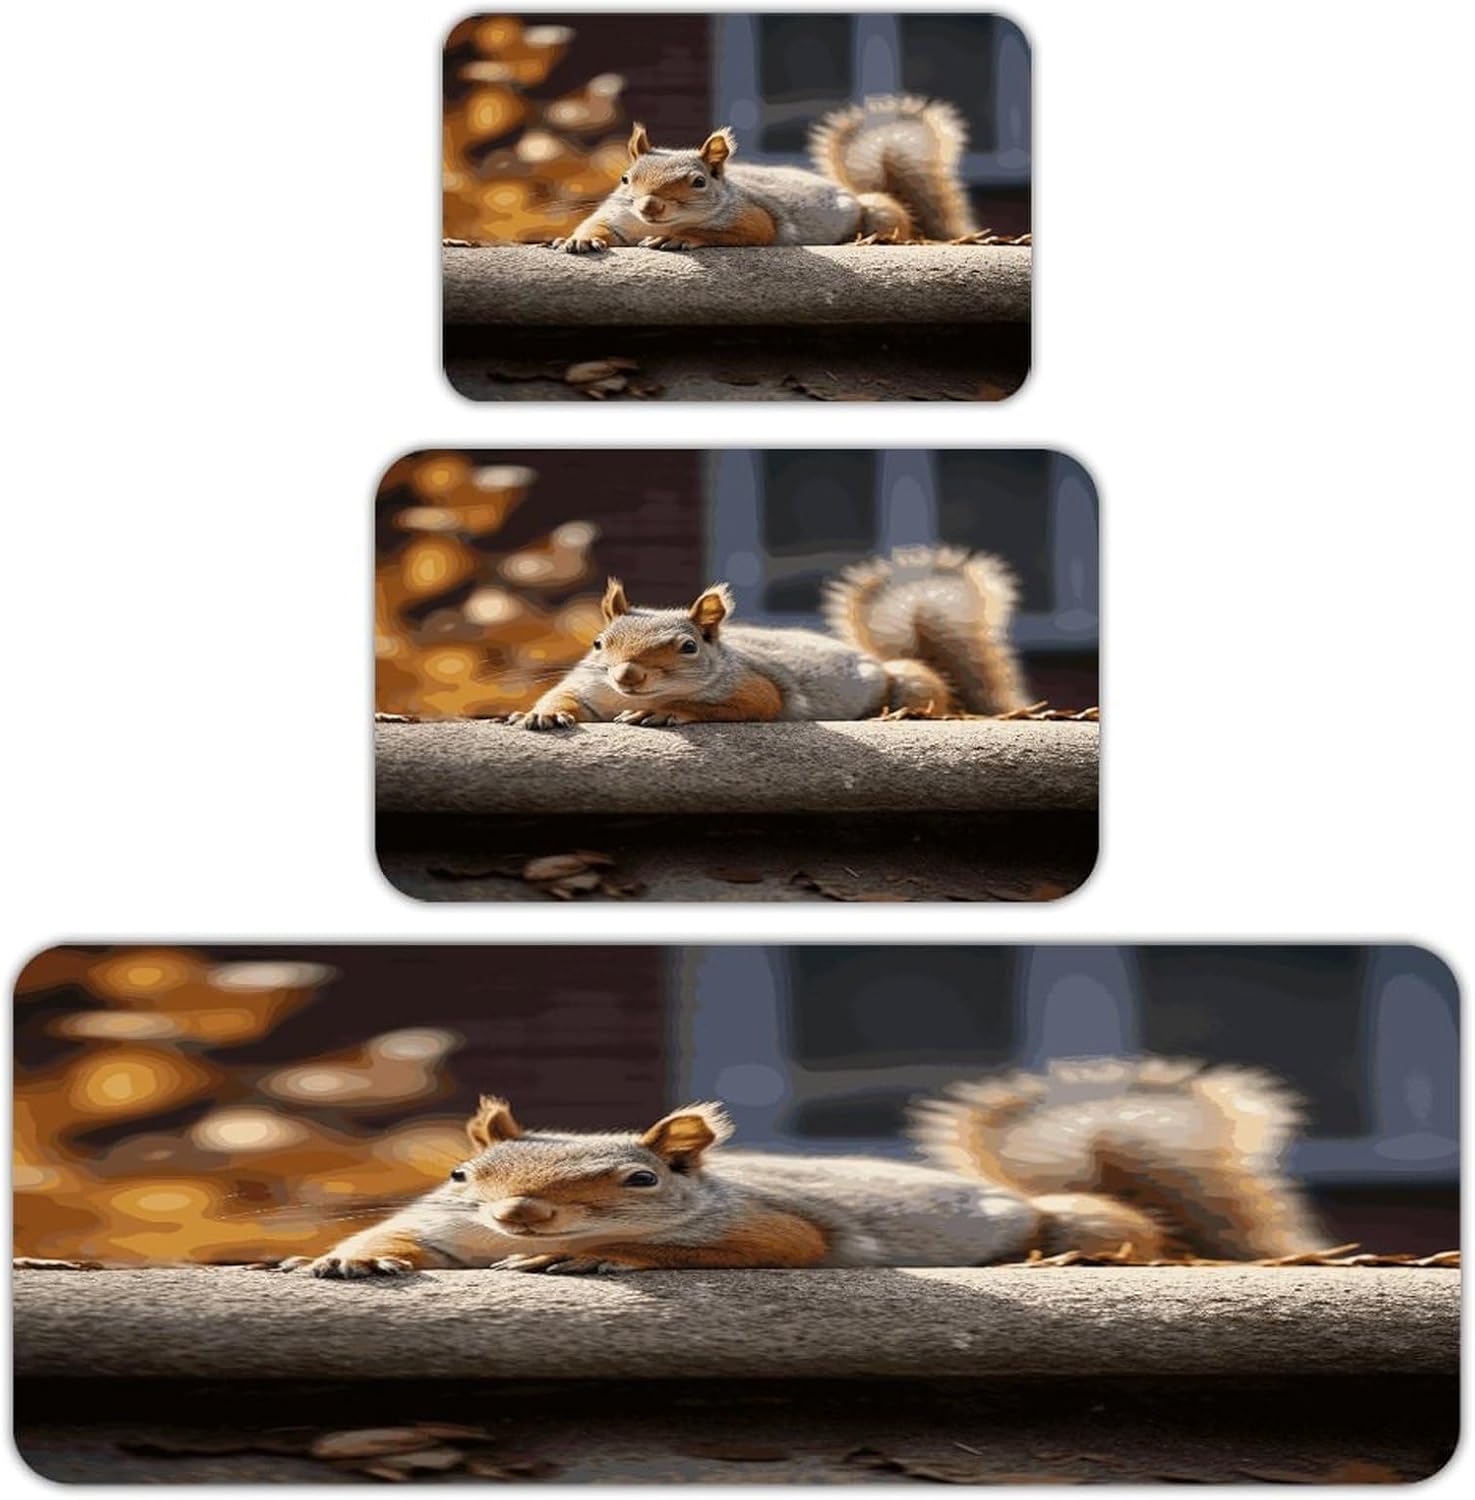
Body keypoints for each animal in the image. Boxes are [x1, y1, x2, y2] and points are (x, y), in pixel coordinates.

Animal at [503, 545, 1028, 730]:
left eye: (689, 647)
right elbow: (564, 697)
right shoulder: (588, 685)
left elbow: (742, 703)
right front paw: (539, 713)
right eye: (598, 644)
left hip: (909, 680)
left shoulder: (754, 686)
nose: (627, 676)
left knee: (932, 697)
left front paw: (665, 710)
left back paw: (905, 711)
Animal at [552, 95, 975, 253]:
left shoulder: (753, 217)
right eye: (625, 179)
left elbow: (736, 231)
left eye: (699, 182)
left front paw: (679, 237)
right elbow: (598, 226)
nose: (650, 207)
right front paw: (578, 240)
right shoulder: (617, 215)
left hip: (879, 211)